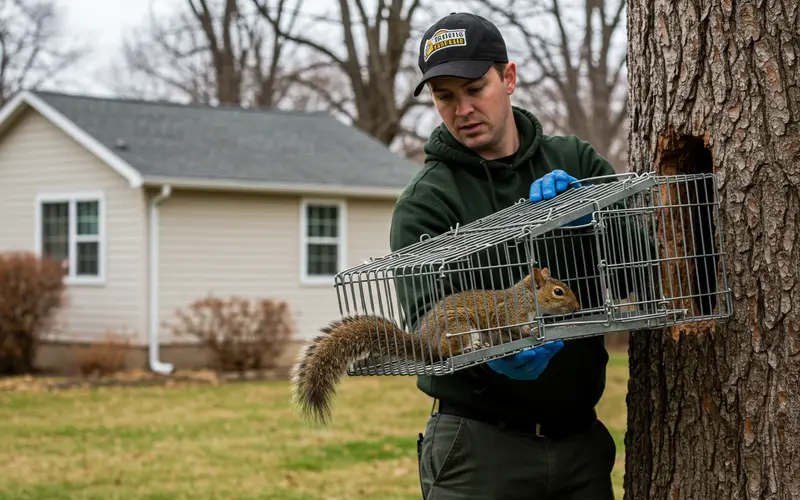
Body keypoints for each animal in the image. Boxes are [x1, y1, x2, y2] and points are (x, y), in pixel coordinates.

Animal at [290, 267, 581, 425]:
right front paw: (532, 330)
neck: (526, 298)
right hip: (460, 327)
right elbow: (516, 326)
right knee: (446, 352)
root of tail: (425, 342)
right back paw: (470, 349)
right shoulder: (510, 314)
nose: (577, 307)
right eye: (558, 292)